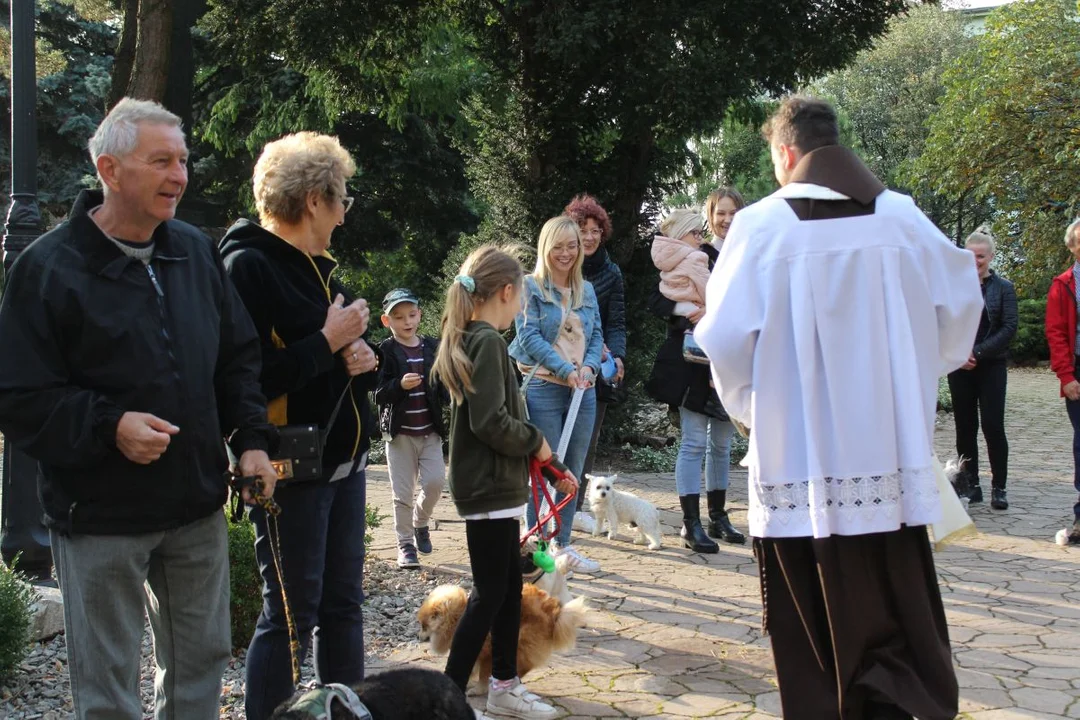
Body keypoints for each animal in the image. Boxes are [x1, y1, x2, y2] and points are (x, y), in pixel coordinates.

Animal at [416, 578, 587, 686]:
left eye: (424, 626)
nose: (418, 636)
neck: (455, 618)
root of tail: (555, 614)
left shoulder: (486, 651)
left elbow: (483, 674)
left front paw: (478, 689)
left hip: (522, 639)